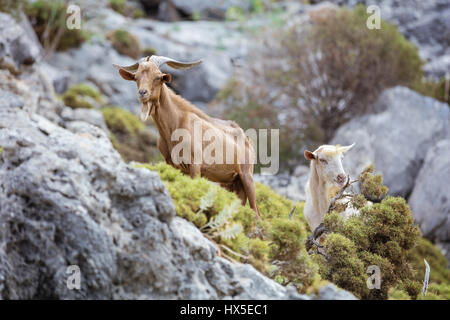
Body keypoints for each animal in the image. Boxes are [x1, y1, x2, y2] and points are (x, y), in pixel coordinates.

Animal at [114, 56, 262, 219]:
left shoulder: (195, 165)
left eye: (158, 77)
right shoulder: (172, 164)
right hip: (232, 183)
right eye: (136, 77)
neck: (175, 124)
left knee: (257, 213)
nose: (142, 93)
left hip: (247, 176)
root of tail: (247, 139)